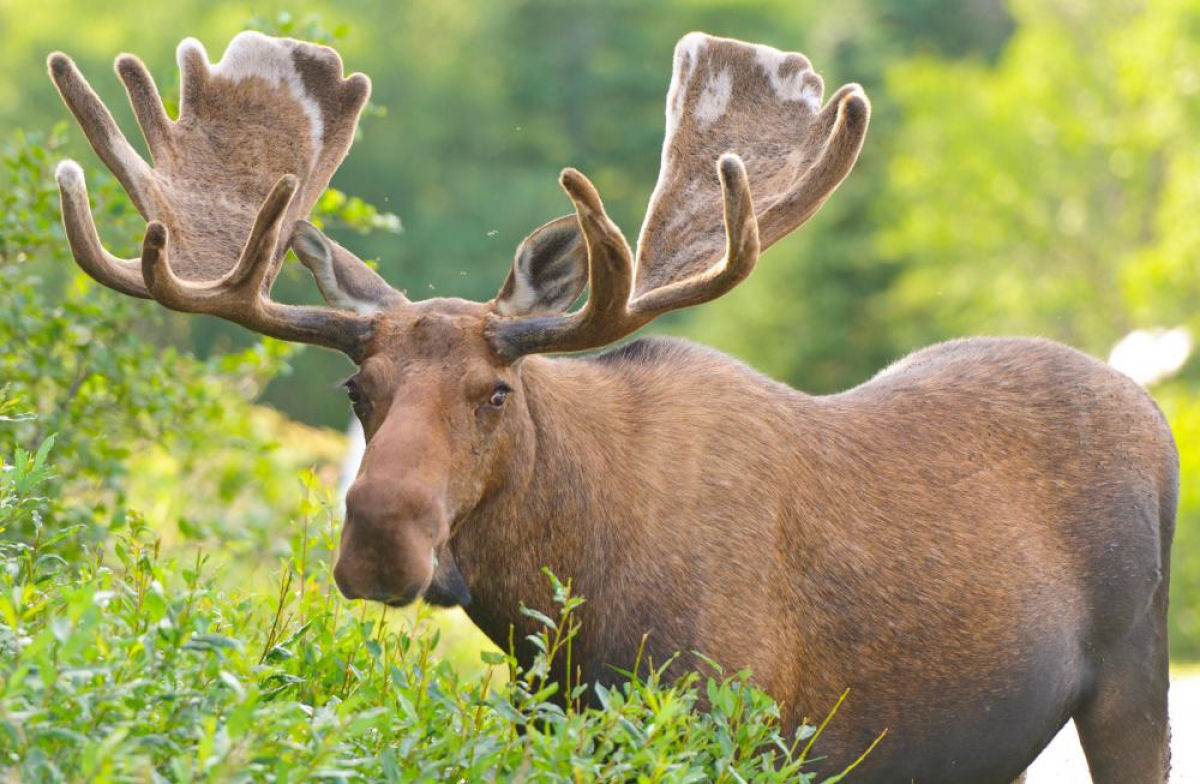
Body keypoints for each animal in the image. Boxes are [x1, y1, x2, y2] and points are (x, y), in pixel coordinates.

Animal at [49, 30, 1180, 782]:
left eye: (497, 391)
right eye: (355, 388)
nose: (379, 537)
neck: (563, 606)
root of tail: (1153, 408)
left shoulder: (740, 720)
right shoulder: (544, 715)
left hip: (1135, 680)